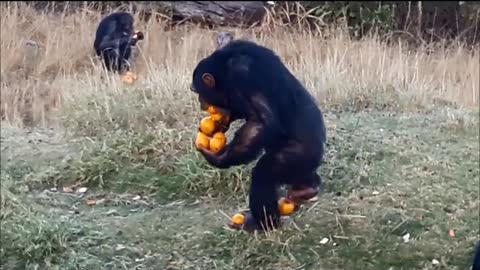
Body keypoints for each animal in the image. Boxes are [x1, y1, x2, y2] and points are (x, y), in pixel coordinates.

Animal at [189, 38, 328, 232]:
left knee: (264, 175)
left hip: (299, 154)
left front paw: (219, 158)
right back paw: (305, 190)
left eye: (198, 91)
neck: (225, 67)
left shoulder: (242, 76)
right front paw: (220, 123)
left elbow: (261, 121)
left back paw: (262, 223)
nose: (201, 102)